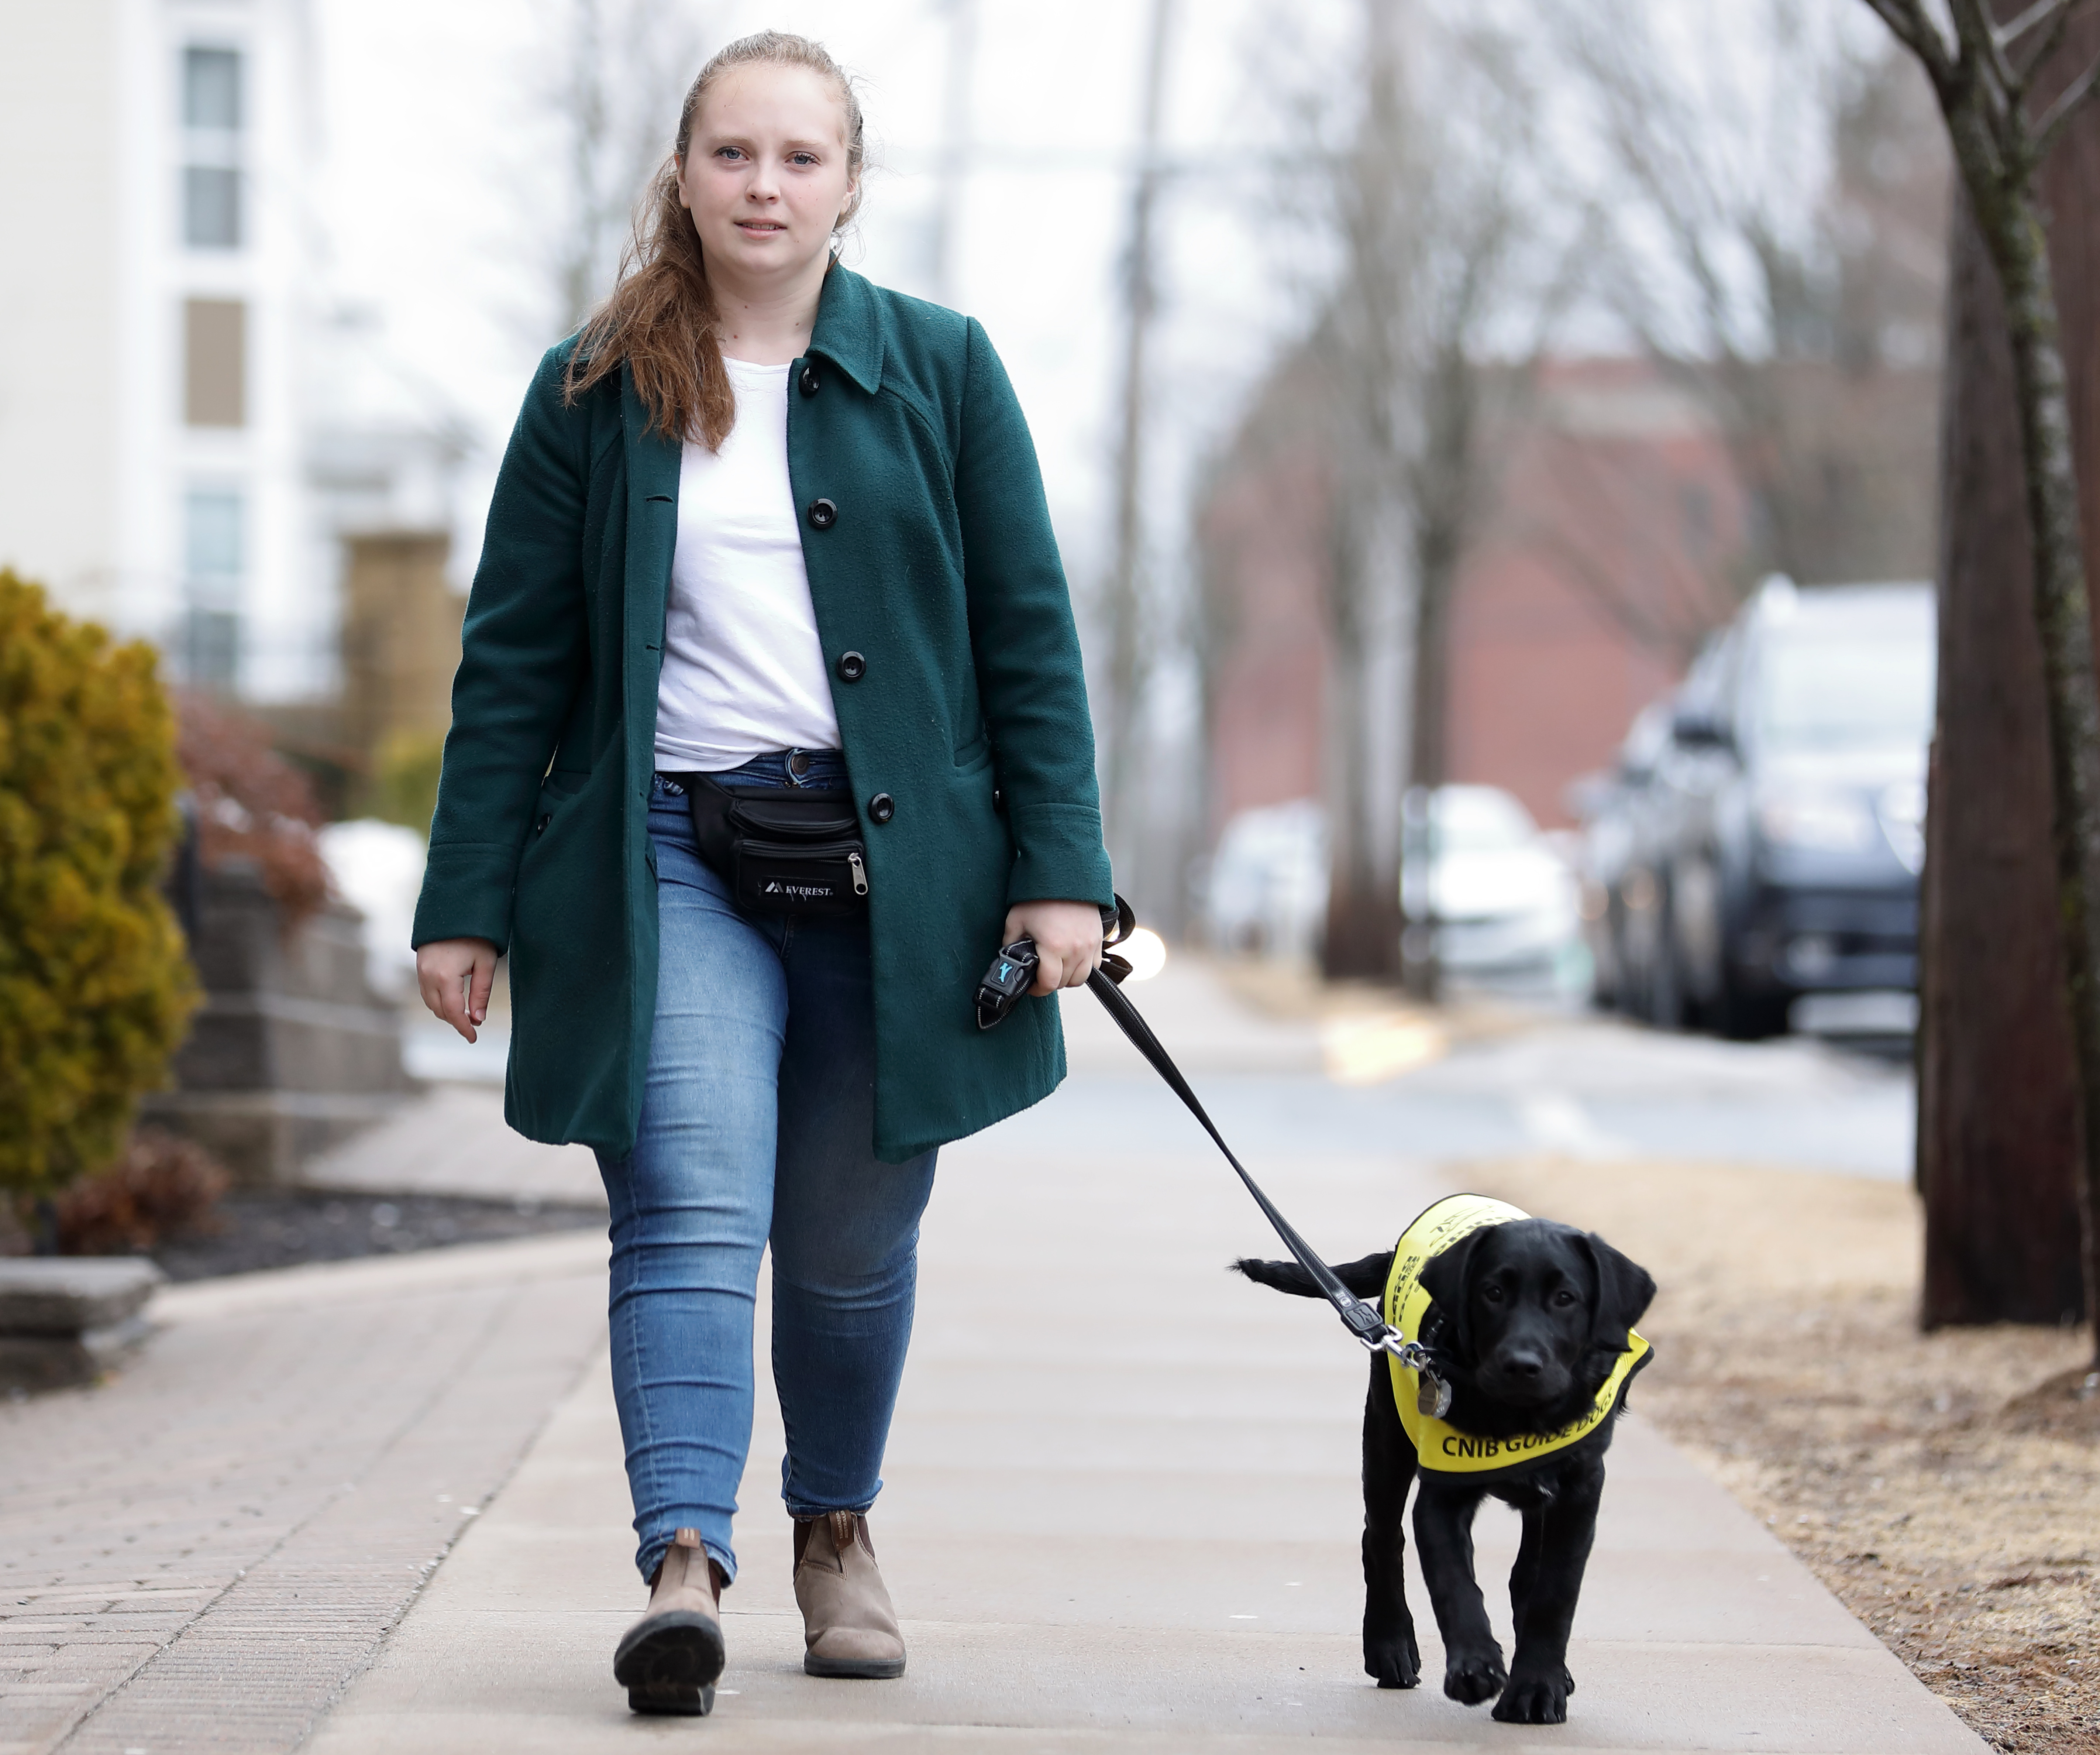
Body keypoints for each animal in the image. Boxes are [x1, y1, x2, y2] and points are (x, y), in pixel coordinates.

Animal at [1226, 1201, 1655, 1721]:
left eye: (1565, 1298)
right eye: (1492, 1292)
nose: (1520, 1364)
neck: (1514, 1416)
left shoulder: (1578, 1496)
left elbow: (1554, 1593)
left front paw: (1537, 1687)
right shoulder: (1441, 1495)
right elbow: (1454, 1583)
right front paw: (1474, 1666)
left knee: (1523, 1575)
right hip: (1386, 1433)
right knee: (1381, 1538)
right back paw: (1389, 1646)